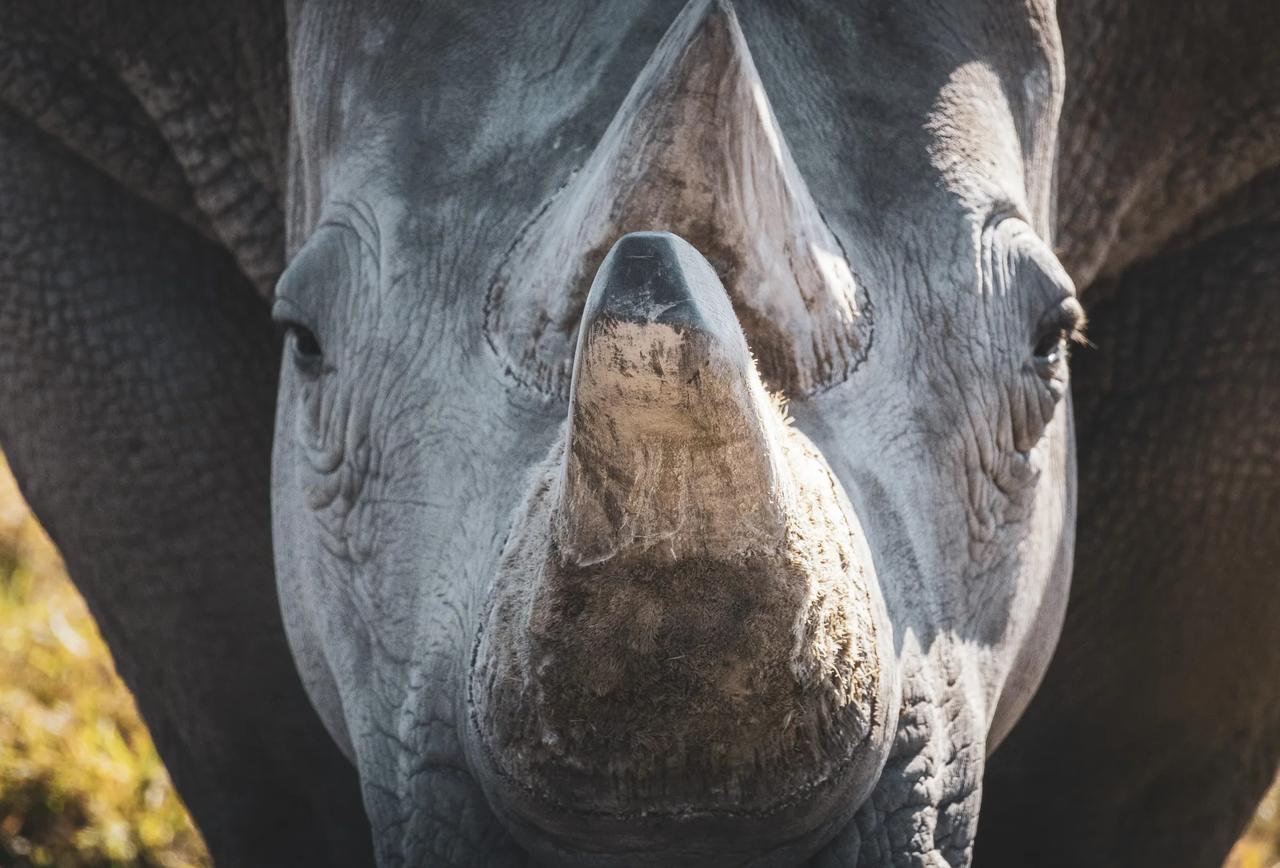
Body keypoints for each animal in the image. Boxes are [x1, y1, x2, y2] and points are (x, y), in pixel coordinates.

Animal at [0, 1, 1275, 866]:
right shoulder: (55, 112)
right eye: (304, 341)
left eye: (1049, 339)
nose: (676, 833)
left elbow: (1125, 758)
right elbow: (250, 727)